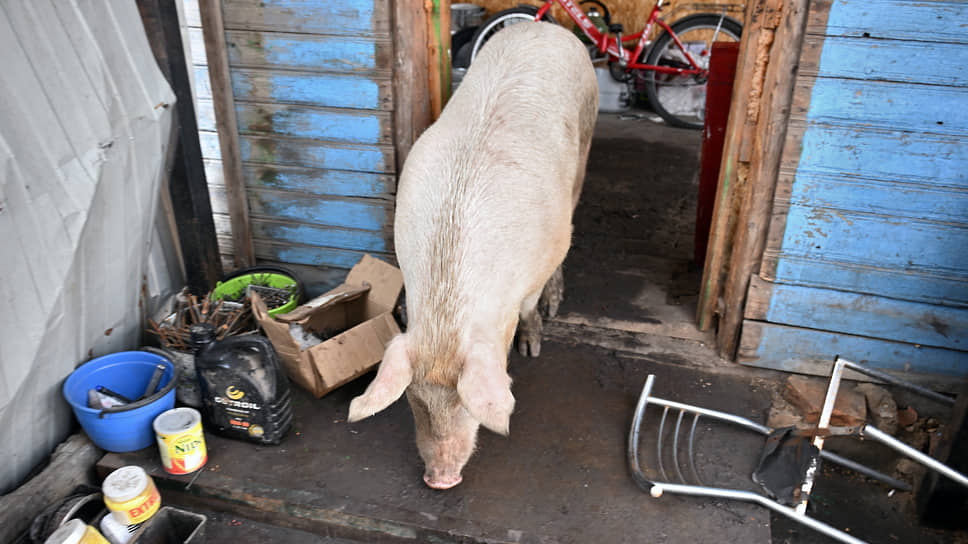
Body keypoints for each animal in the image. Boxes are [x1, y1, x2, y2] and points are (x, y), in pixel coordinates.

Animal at [344, 20, 592, 488]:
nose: (440, 480)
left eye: (464, 403)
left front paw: (531, 348)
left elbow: (529, 308)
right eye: (414, 401)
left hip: (585, 145)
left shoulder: (538, 263)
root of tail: (543, 26)